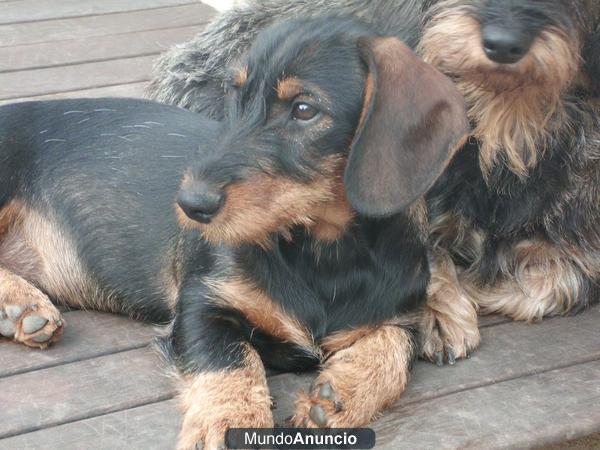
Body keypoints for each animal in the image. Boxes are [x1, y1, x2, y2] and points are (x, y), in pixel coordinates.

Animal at [0, 15, 468, 448]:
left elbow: (393, 348)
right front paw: (229, 421)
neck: (321, 253)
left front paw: (340, 395)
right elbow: (232, 360)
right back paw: (23, 304)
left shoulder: (398, 316)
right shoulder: (201, 306)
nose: (189, 203)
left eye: (304, 109)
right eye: (235, 97)